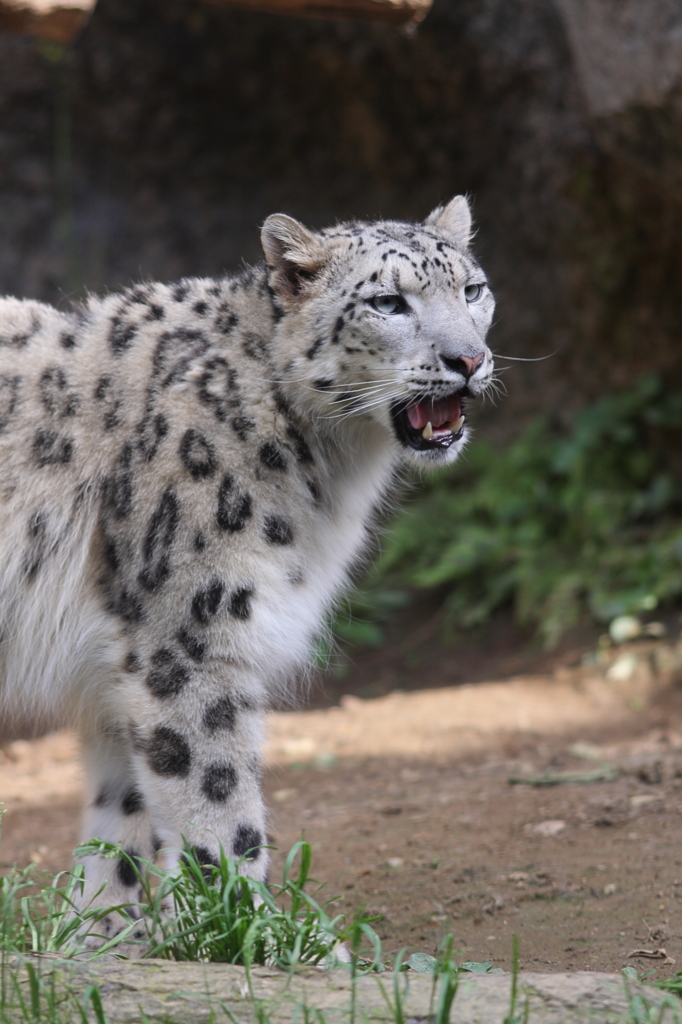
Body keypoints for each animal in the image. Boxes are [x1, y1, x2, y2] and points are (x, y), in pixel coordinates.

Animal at [0, 195, 493, 917]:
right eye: (388, 302)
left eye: (473, 290)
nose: (469, 359)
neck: (329, 474)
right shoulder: (187, 637)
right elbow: (217, 799)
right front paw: (253, 928)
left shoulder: (122, 664)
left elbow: (122, 813)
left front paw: (109, 927)